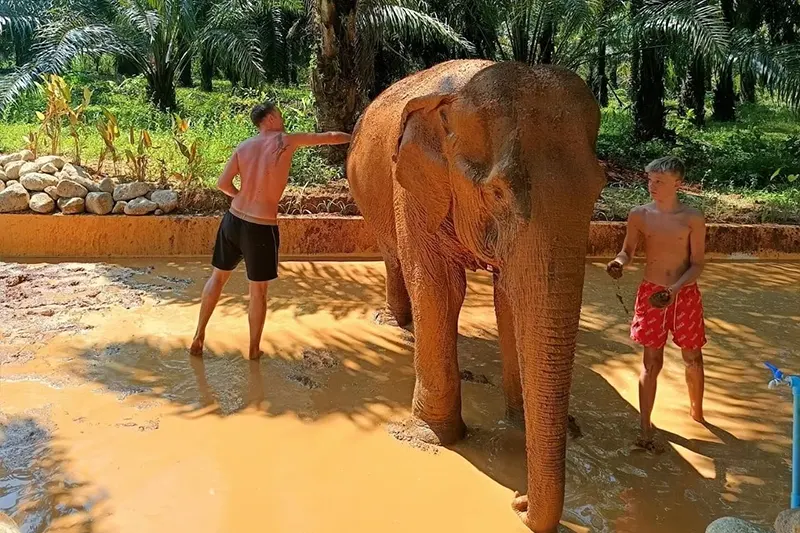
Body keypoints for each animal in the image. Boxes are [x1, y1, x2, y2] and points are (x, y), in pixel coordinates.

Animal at [345, 59, 606, 532]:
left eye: (599, 189)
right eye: (497, 193)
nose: (519, 501)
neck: (455, 99)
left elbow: (511, 296)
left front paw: (518, 424)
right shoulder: (412, 187)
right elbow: (439, 287)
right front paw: (434, 436)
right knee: (393, 256)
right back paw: (398, 325)